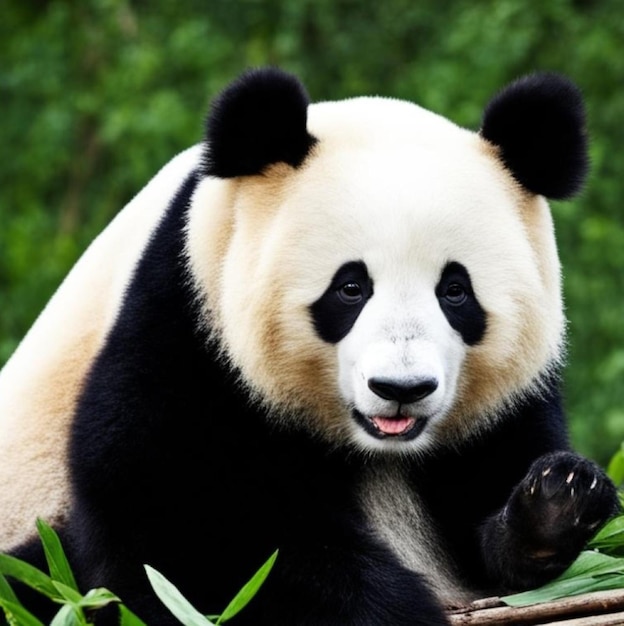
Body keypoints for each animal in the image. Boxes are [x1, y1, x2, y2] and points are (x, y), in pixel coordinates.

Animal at [0, 66, 620, 620]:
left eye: (455, 291)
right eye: (350, 287)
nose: (402, 388)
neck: (376, 451)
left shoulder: (507, 403)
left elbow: (497, 516)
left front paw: (559, 498)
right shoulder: (186, 321)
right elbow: (182, 529)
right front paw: (393, 608)